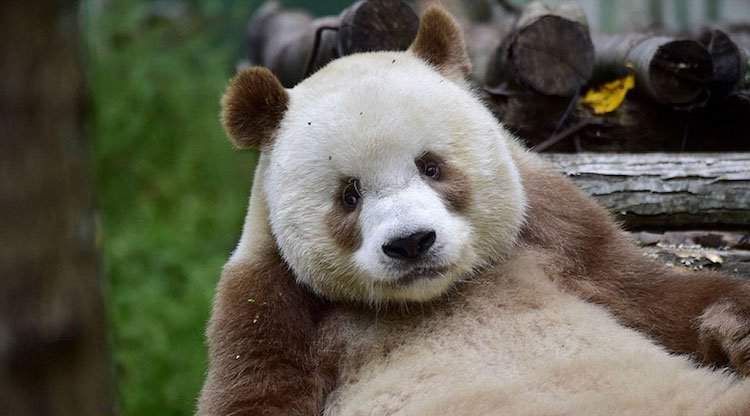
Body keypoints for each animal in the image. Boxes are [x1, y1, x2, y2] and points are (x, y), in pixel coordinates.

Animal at [198, 6, 750, 416]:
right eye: (348, 196)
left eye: (431, 166)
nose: (411, 242)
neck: (433, 296)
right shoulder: (270, 301)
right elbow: (257, 389)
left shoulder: (557, 234)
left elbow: (650, 294)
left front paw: (737, 330)